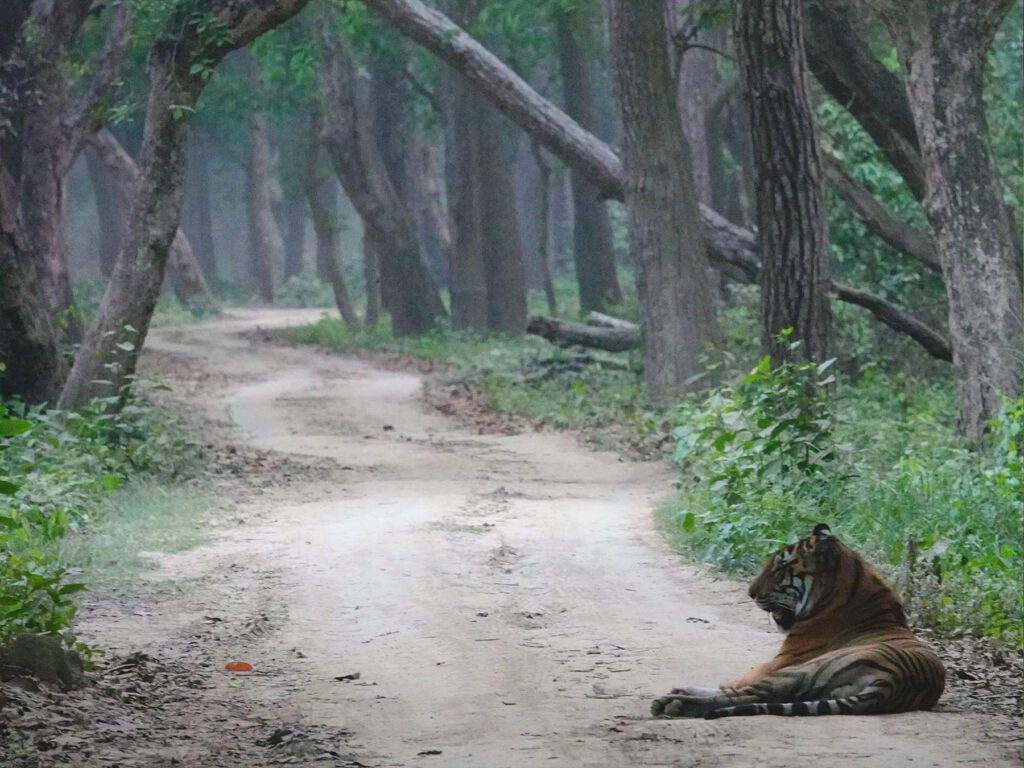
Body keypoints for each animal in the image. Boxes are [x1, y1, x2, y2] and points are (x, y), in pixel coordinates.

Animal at [651, 523, 945, 719]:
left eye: (780, 567)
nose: (750, 592)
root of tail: (894, 682)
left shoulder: (777, 662)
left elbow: (735, 682)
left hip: (804, 670)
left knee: (748, 695)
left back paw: (674, 703)